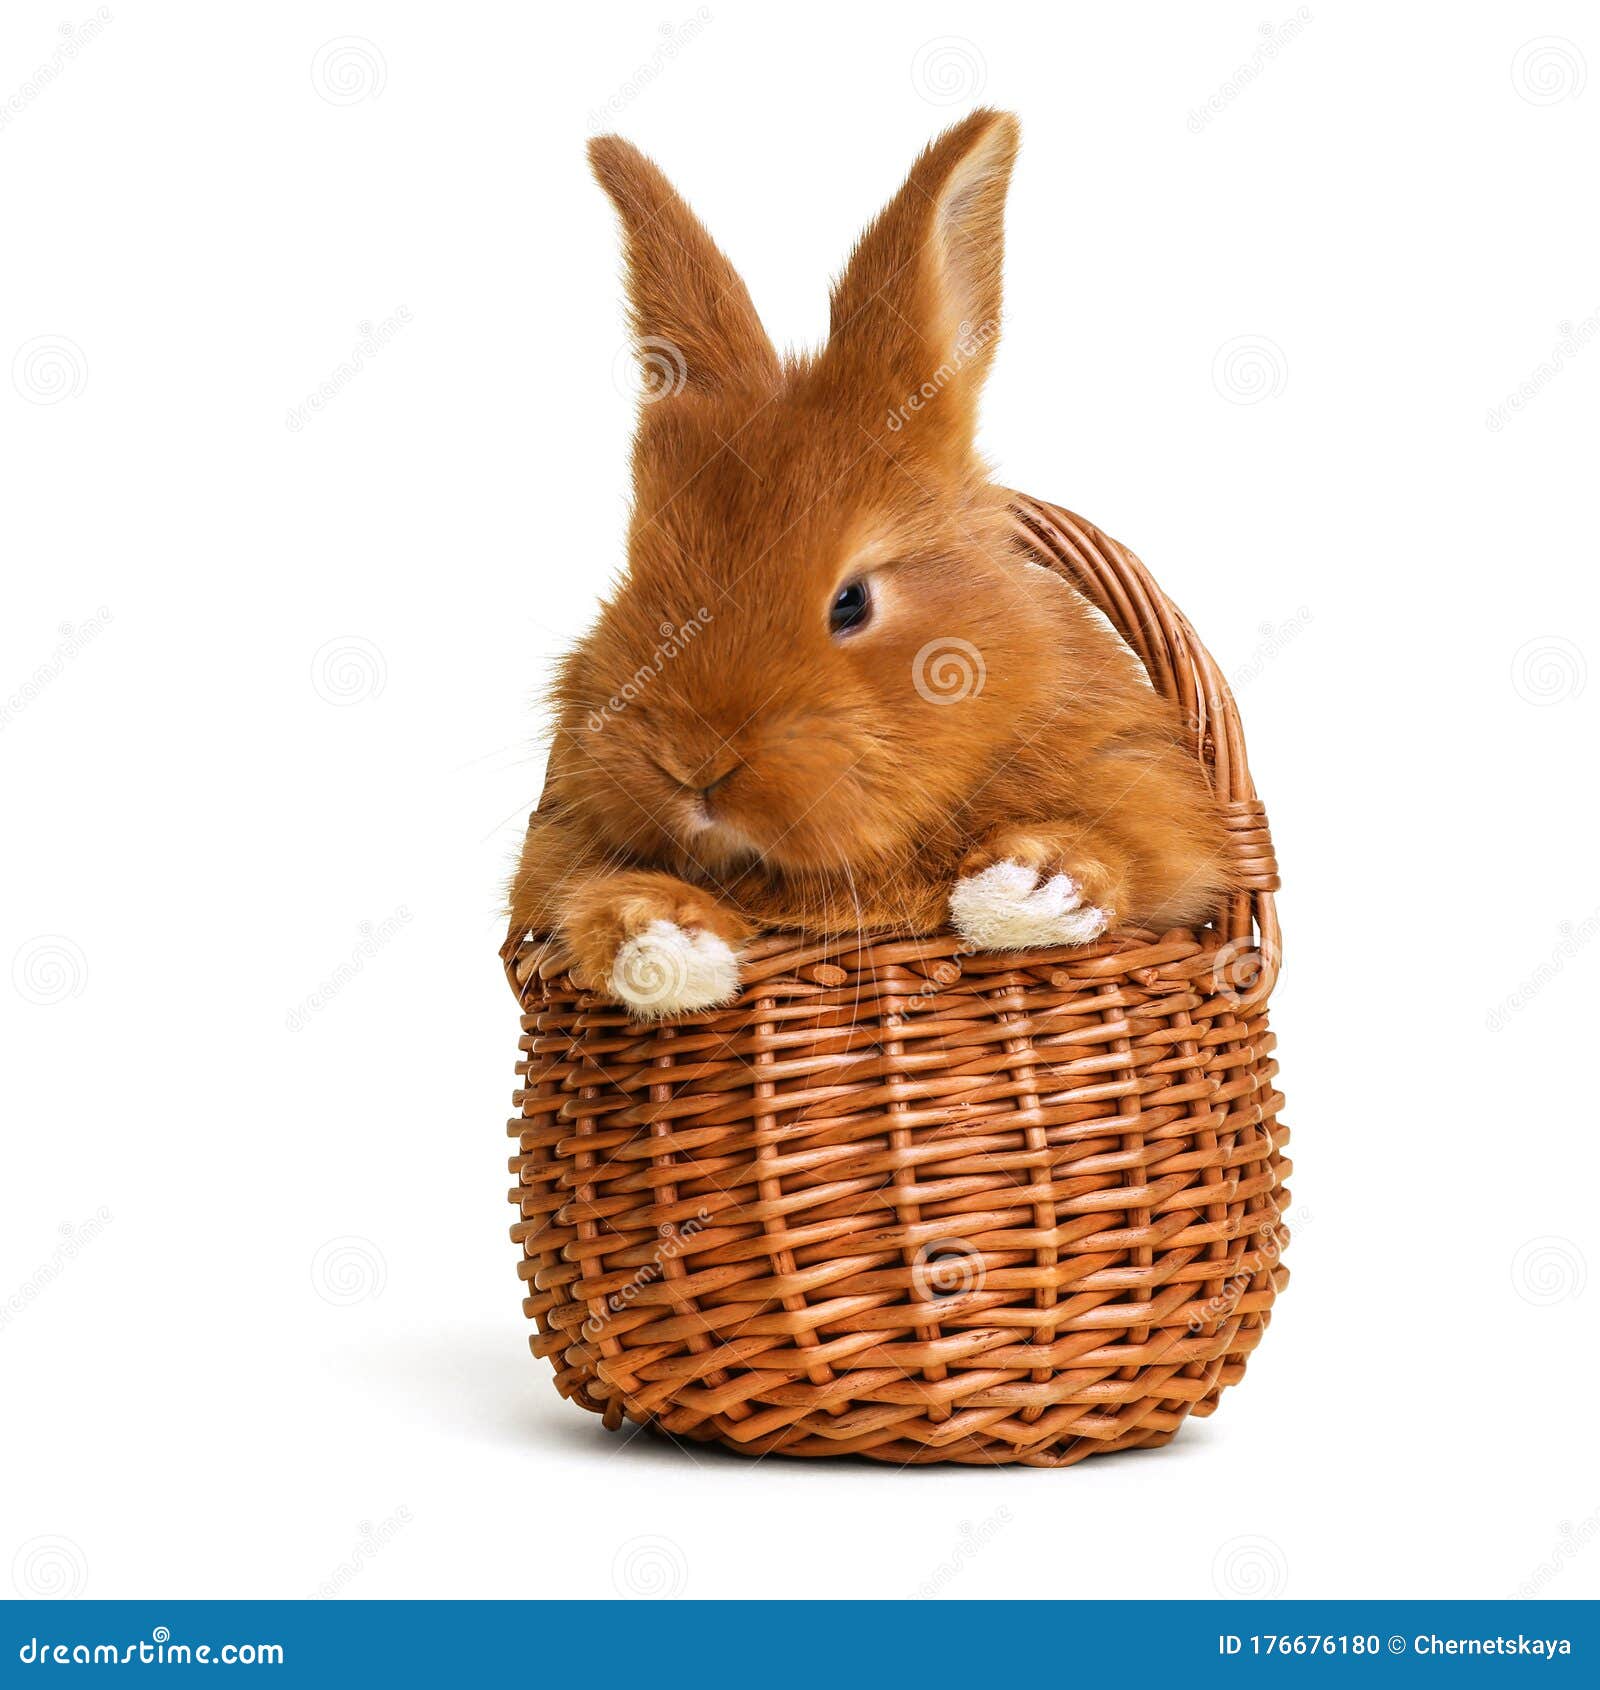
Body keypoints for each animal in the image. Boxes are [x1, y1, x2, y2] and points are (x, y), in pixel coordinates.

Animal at [507, 108, 1234, 1016]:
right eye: (636, 580)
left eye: (851, 601)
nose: (695, 762)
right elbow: (581, 897)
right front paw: (661, 941)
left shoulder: (1148, 792)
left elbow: (1139, 854)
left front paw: (1031, 887)